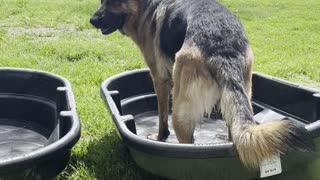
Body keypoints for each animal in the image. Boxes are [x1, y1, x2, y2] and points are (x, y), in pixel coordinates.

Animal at [90, 0, 312, 169]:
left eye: (112, 2)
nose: (92, 20)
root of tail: (222, 46)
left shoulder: (160, 79)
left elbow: (162, 117)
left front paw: (160, 136)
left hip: (180, 113)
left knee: (186, 148)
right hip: (239, 99)